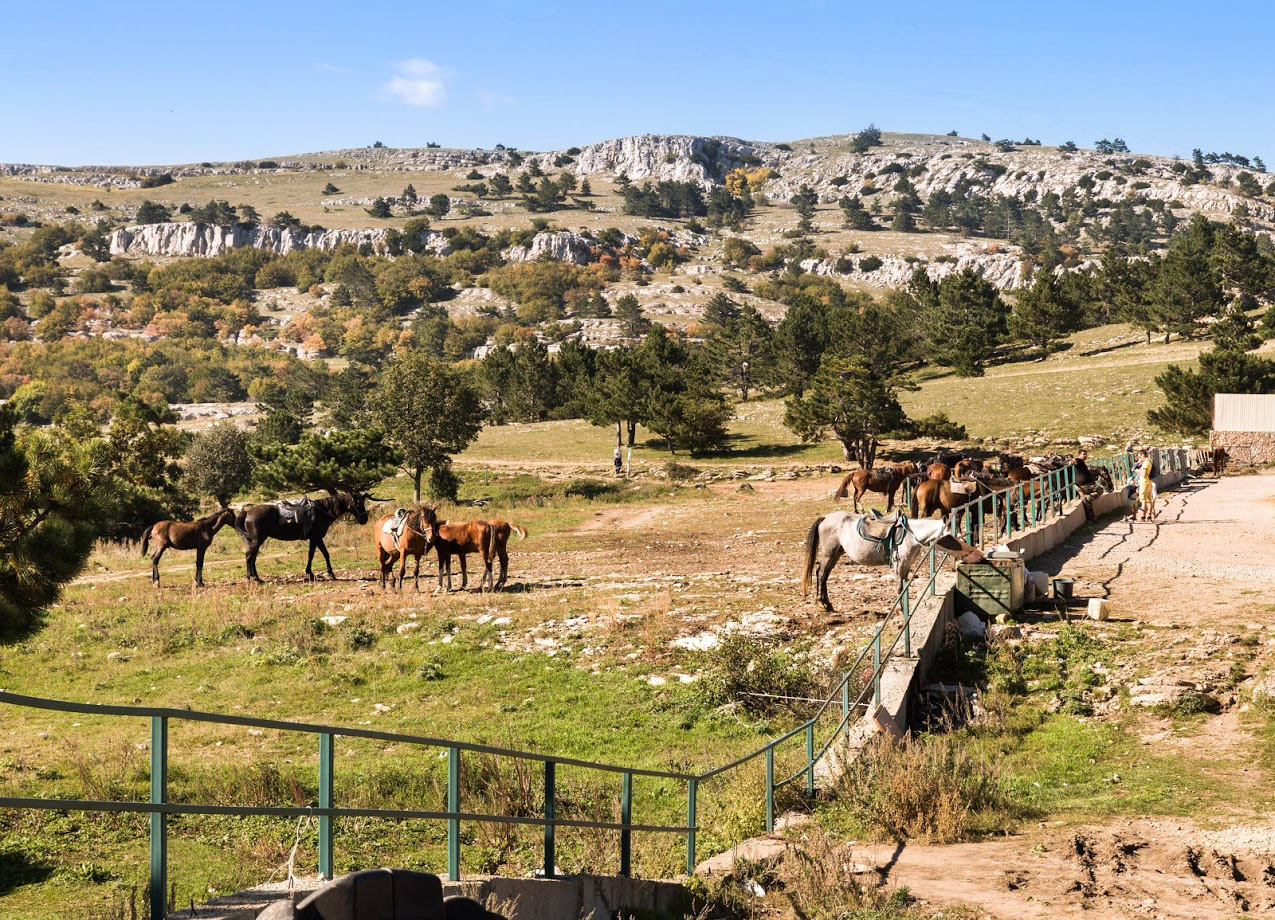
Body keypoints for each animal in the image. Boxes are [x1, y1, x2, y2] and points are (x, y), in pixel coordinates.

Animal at [234, 486, 374, 581]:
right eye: (357, 504)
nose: (365, 519)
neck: (322, 511)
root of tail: (247, 512)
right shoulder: (316, 537)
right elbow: (314, 554)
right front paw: (315, 573)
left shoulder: (317, 538)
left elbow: (323, 553)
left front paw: (326, 573)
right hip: (257, 539)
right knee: (250, 556)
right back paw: (254, 578)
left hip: (255, 540)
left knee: (251, 556)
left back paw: (255, 577)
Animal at [800, 509, 953, 609]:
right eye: (948, 536)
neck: (911, 535)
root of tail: (825, 518)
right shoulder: (899, 566)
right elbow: (899, 588)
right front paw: (900, 610)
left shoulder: (906, 566)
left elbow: (904, 587)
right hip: (829, 553)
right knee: (821, 573)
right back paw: (823, 603)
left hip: (836, 554)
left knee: (824, 575)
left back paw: (828, 604)